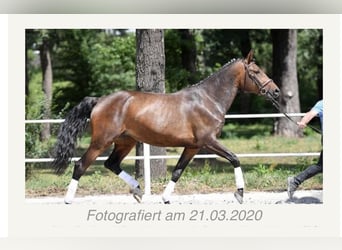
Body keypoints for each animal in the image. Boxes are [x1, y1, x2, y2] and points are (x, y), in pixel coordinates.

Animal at [52, 50, 280, 203]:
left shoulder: (193, 146)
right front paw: (240, 193)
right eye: (256, 71)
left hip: (125, 142)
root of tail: (99, 100)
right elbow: (234, 158)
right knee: (80, 165)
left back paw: (138, 191)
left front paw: (165, 198)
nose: (276, 91)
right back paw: (68, 199)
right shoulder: (209, 141)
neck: (208, 100)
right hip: (101, 141)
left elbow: (177, 171)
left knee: (111, 164)